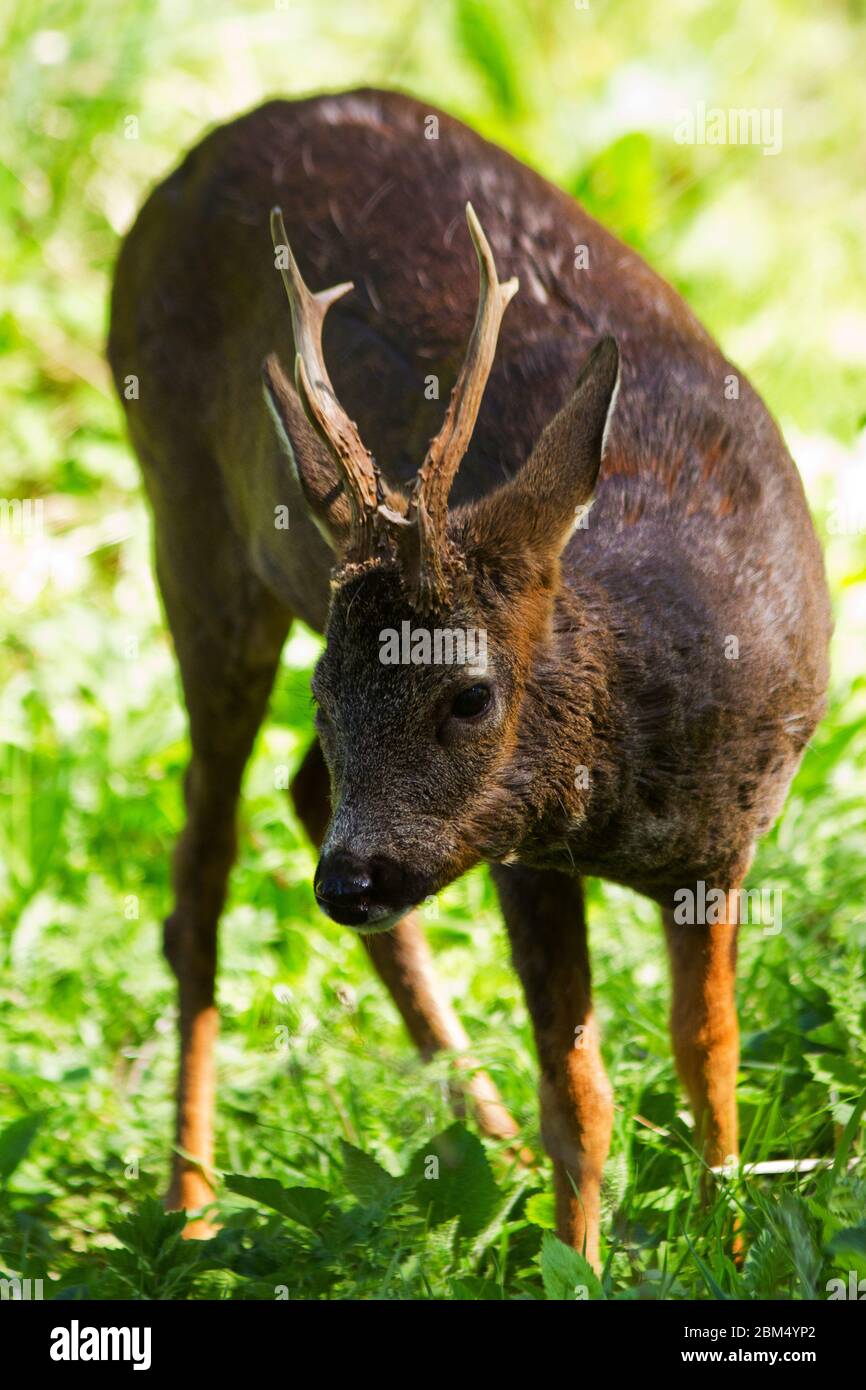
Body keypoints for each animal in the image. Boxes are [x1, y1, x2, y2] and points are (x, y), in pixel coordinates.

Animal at [108, 88, 831, 1266]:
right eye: (327, 692)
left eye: (470, 693)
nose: (348, 885)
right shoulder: (522, 856)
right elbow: (581, 1091)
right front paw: (577, 1268)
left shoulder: (724, 843)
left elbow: (709, 1057)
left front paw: (729, 1247)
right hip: (190, 520)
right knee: (201, 867)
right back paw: (191, 1205)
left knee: (298, 796)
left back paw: (487, 1142)